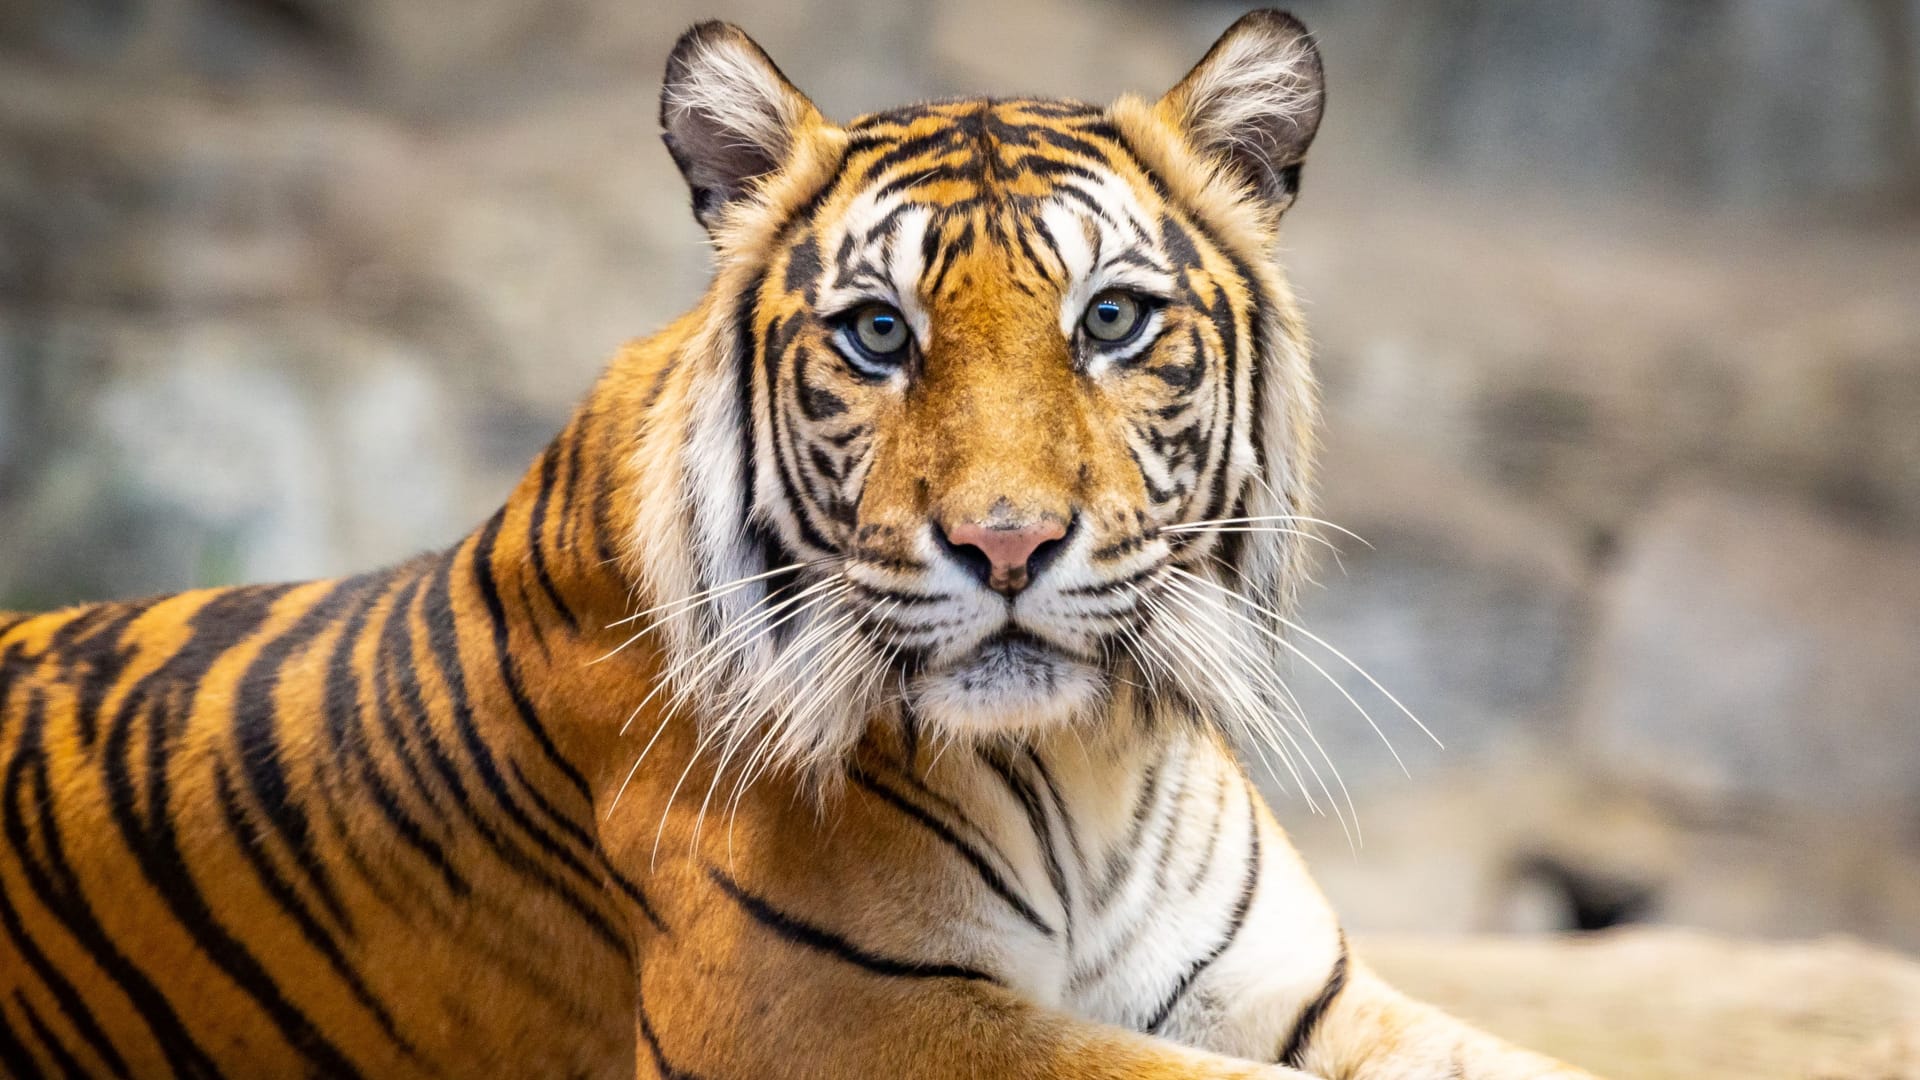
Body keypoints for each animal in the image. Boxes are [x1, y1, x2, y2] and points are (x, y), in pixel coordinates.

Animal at [0, 10, 1605, 1076]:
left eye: (1111, 319)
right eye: (879, 334)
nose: (1008, 545)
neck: (1086, 767)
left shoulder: (1308, 993)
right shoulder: (841, 1016)